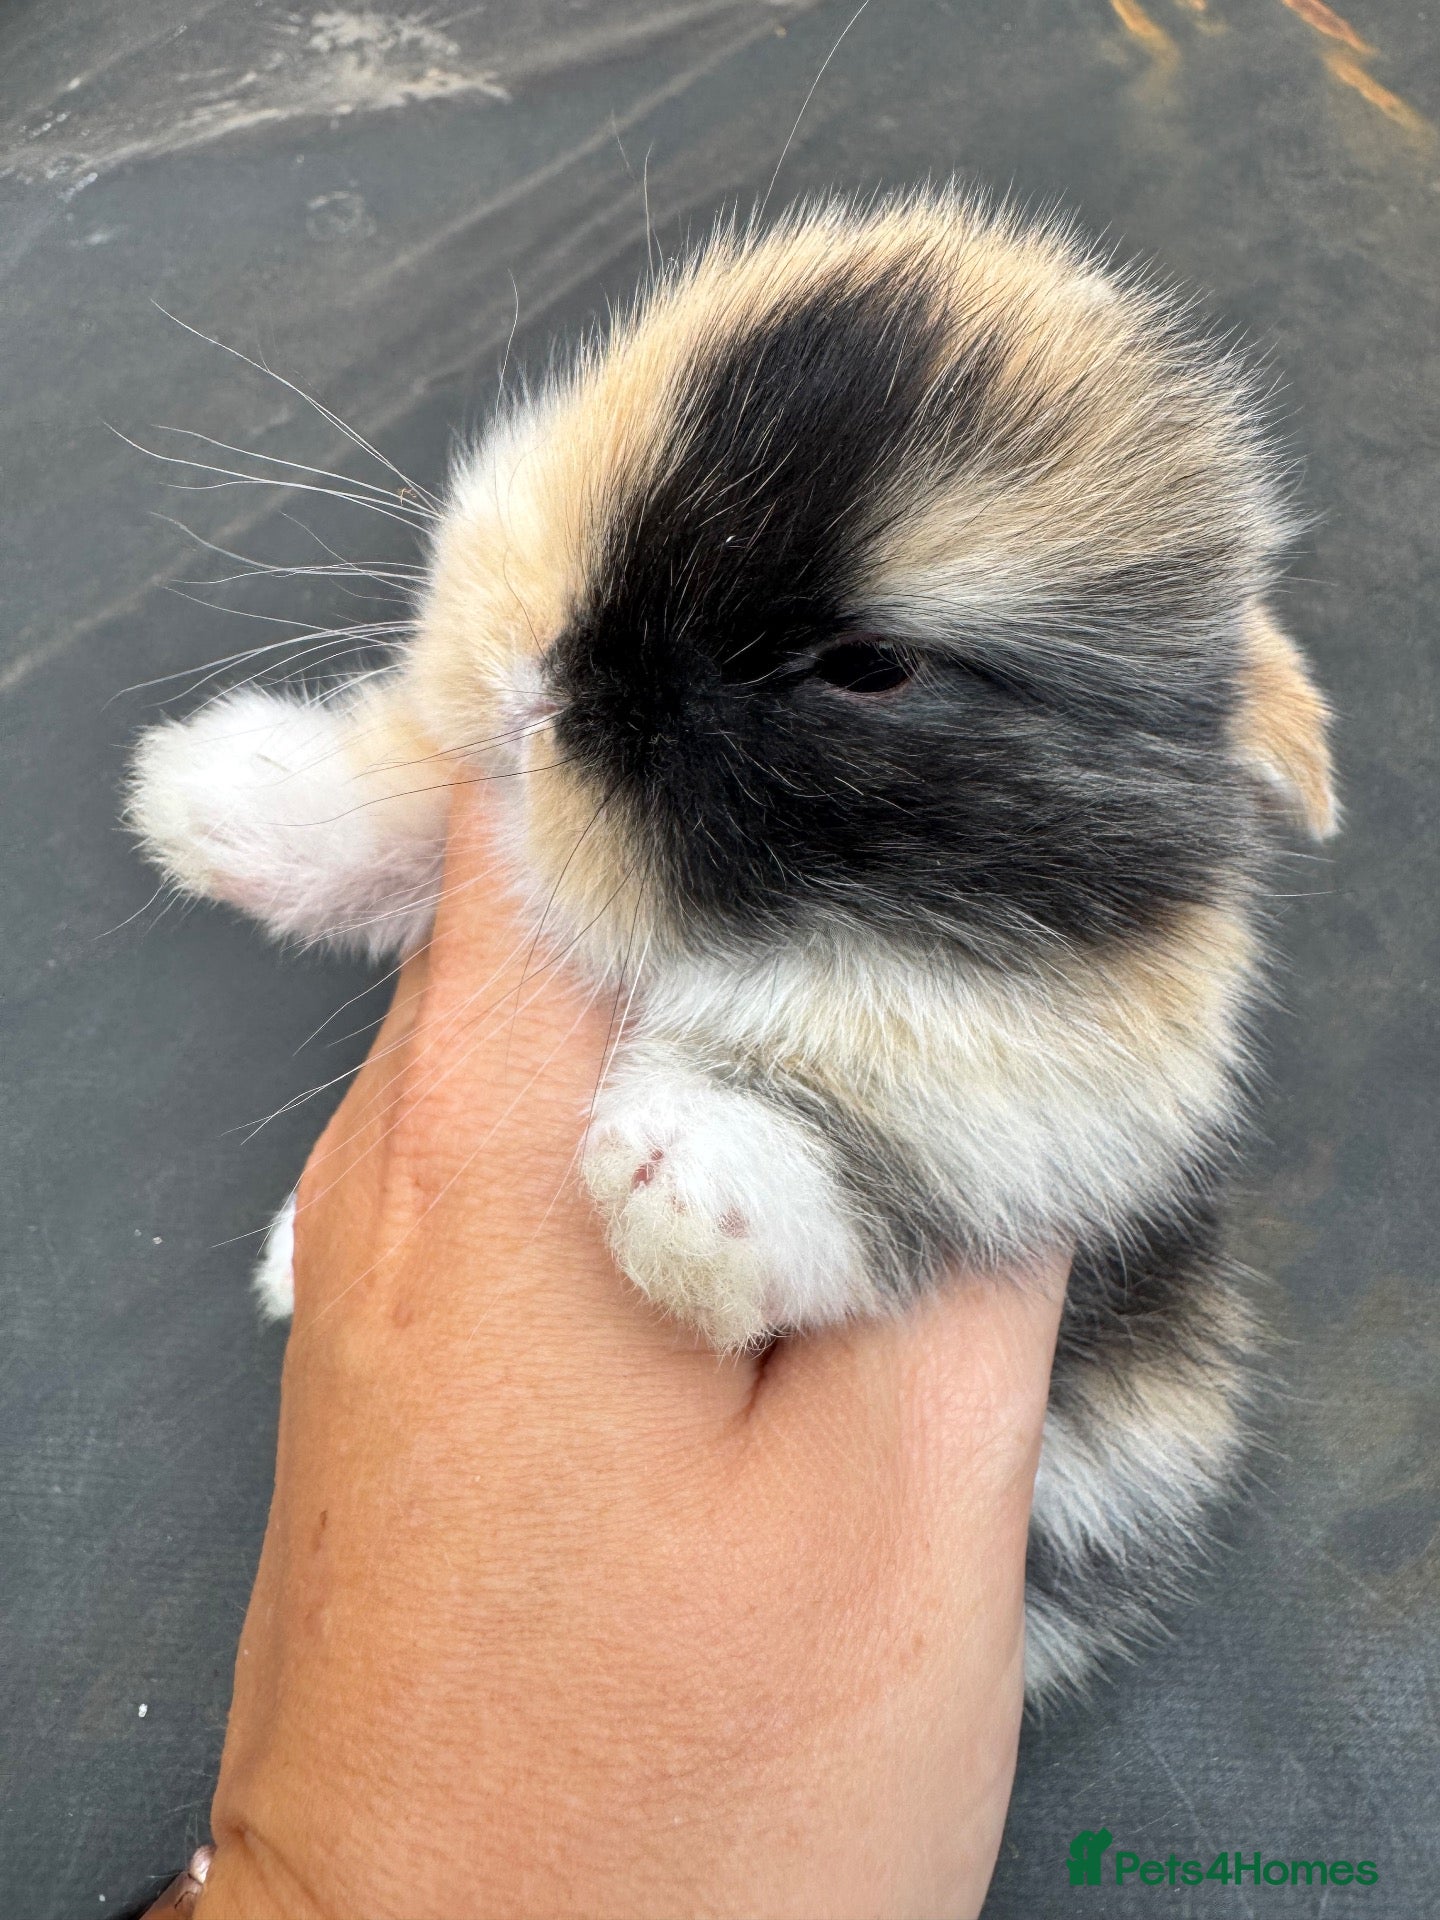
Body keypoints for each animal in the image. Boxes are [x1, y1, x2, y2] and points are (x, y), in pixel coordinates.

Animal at [128, 190, 1337, 1704]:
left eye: (868, 668)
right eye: (615, 402)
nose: (537, 679)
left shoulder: (1067, 1075)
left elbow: (880, 1087)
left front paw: (683, 1177)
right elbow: (411, 804)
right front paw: (208, 791)